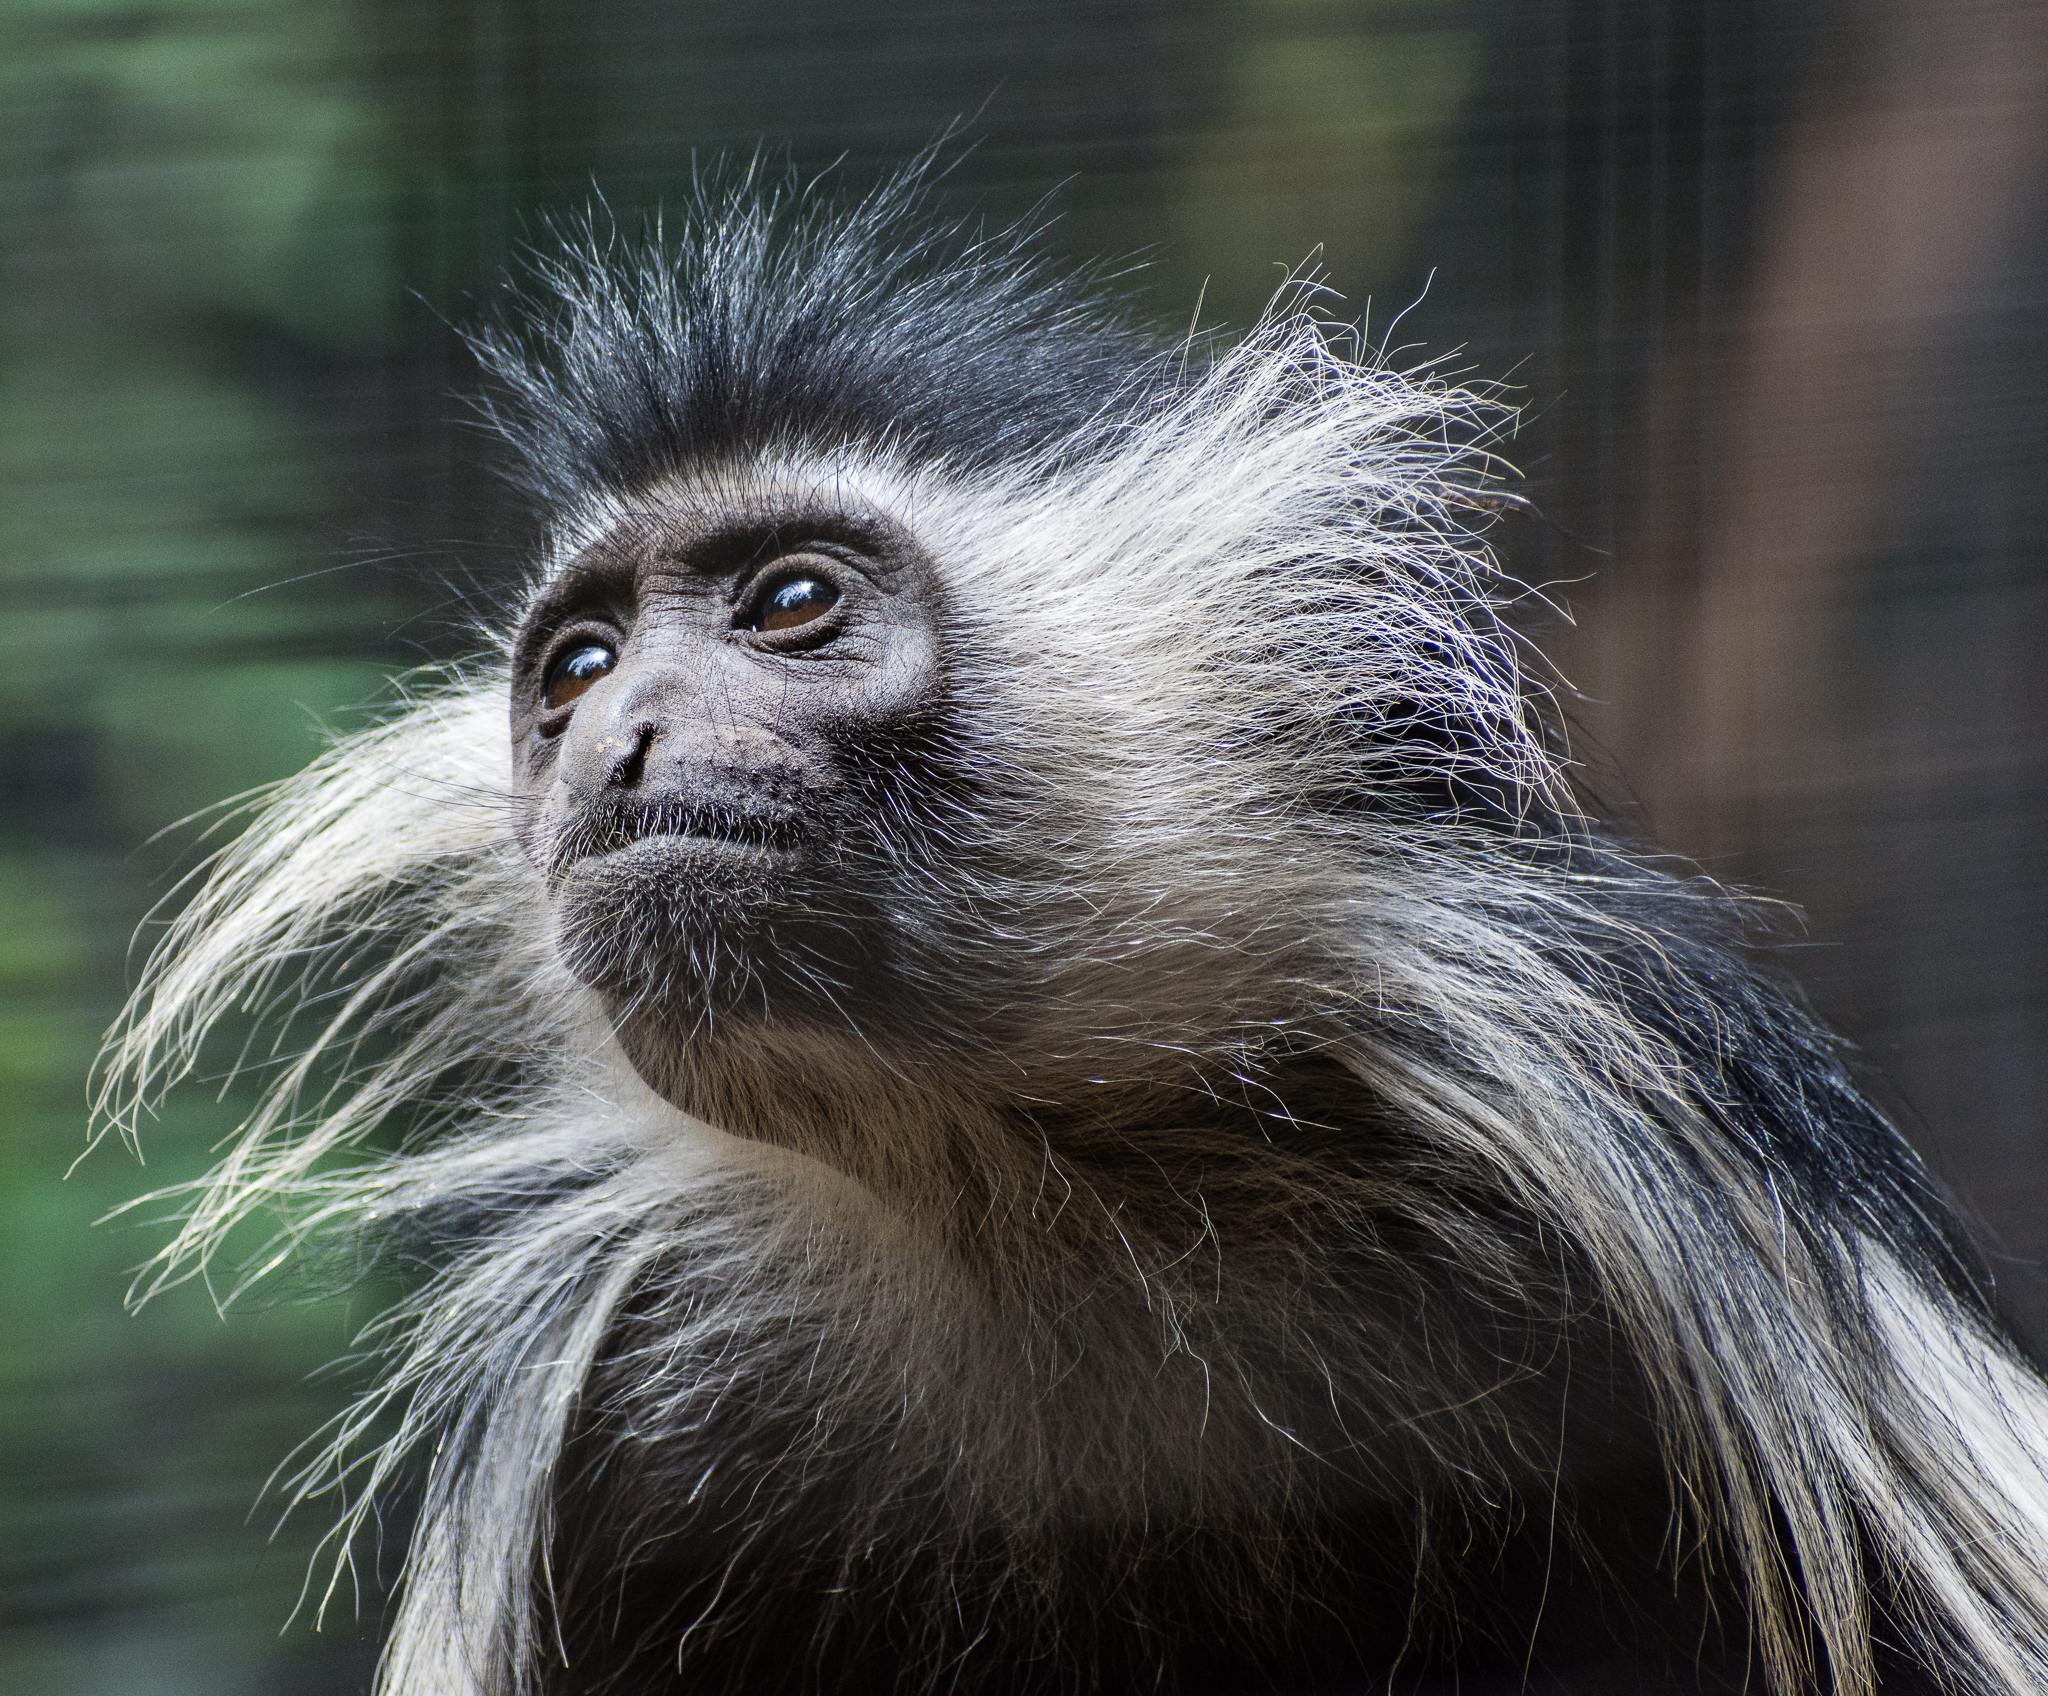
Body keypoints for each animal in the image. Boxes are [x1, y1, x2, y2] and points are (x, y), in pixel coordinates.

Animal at [95, 162, 2048, 1696]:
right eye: (575, 665)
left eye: (787, 602)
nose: (621, 737)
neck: (1020, 1197)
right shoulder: (614, 1433)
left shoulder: (1623, 1116)